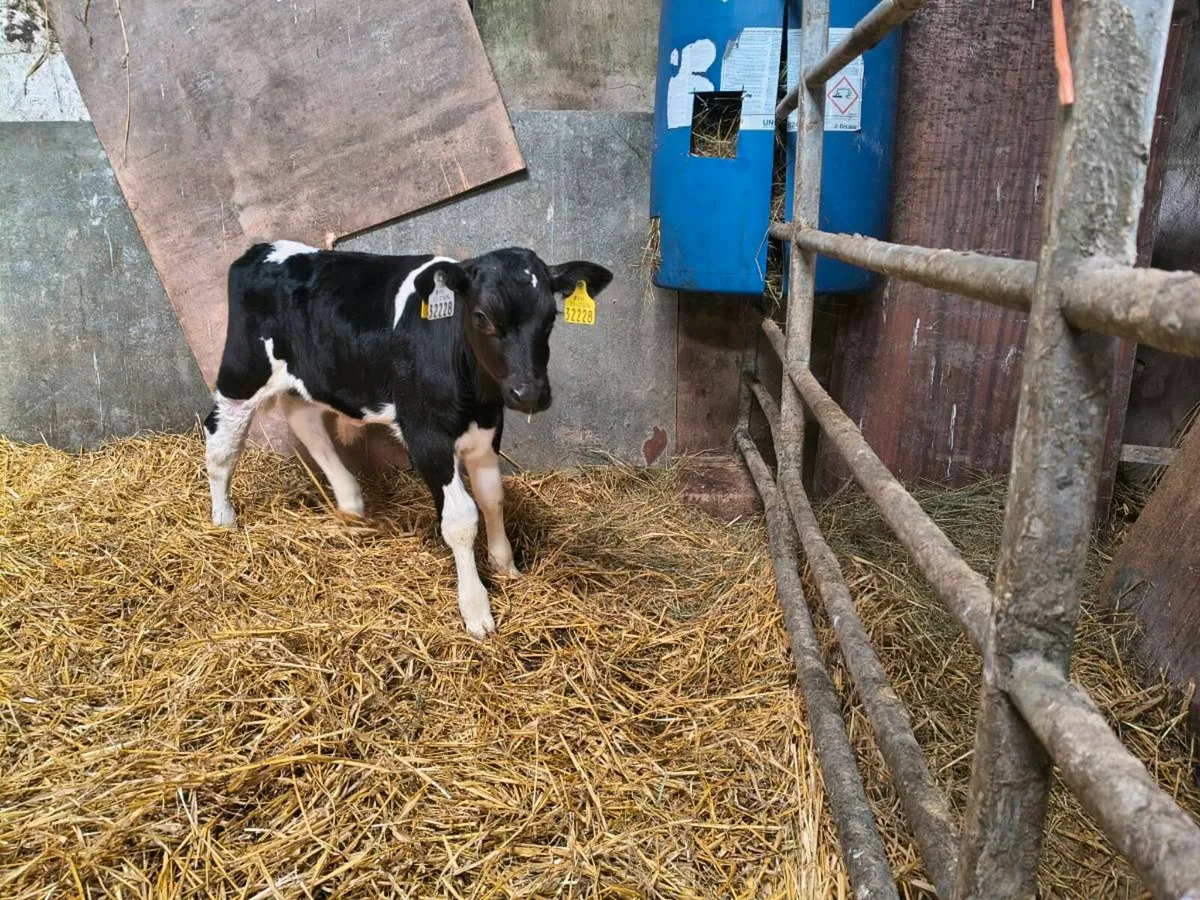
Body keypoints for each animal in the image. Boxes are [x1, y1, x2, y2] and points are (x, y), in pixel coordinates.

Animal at [202, 240, 613, 638]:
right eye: (481, 316)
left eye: (550, 318)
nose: (529, 394)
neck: (475, 395)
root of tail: (262, 250)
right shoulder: (426, 437)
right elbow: (461, 519)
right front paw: (476, 610)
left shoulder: (488, 431)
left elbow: (493, 497)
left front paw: (506, 566)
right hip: (243, 371)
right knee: (220, 442)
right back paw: (223, 519)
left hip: (312, 377)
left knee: (306, 423)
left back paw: (351, 506)